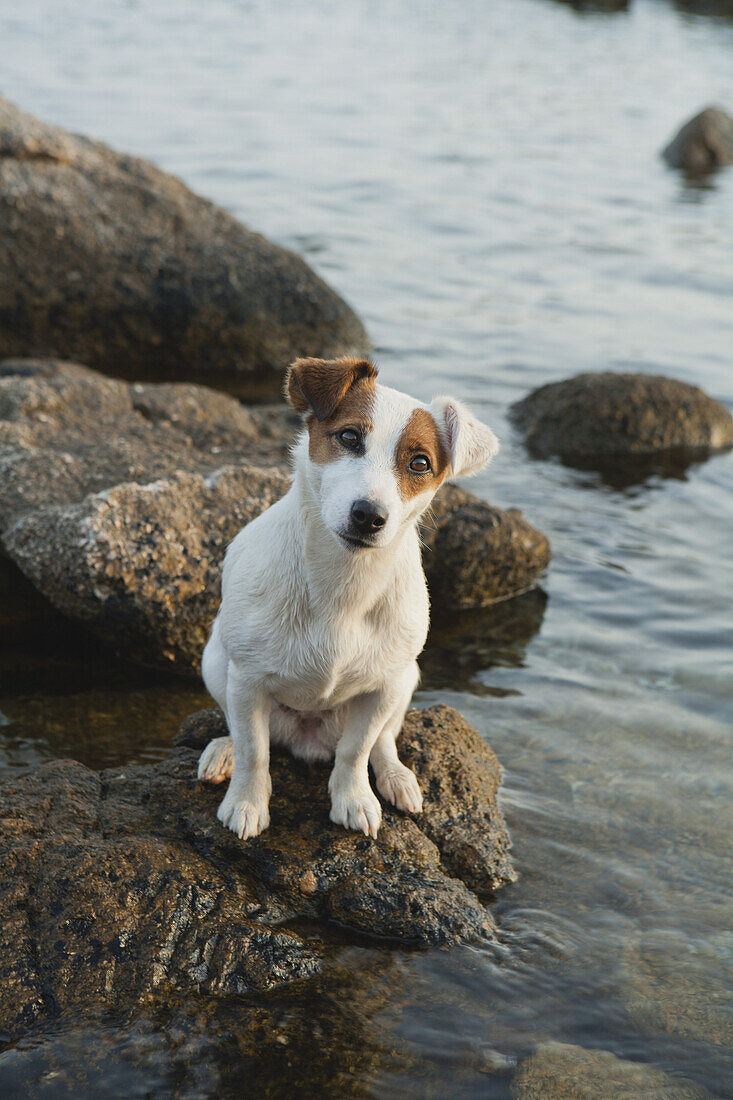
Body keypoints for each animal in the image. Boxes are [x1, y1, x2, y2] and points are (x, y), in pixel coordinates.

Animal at [193, 356, 497, 836]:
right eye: (350, 437)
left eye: (420, 462)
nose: (368, 515)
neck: (344, 583)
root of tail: (308, 736)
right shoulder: (246, 680)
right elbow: (254, 751)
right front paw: (246, 801)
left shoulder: (383, 688)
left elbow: (357, 749)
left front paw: (353, 798)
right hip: (215, 660)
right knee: (244, 731)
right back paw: (224, 749)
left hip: (407, 679)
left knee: (384, 740)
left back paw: (394, 776)